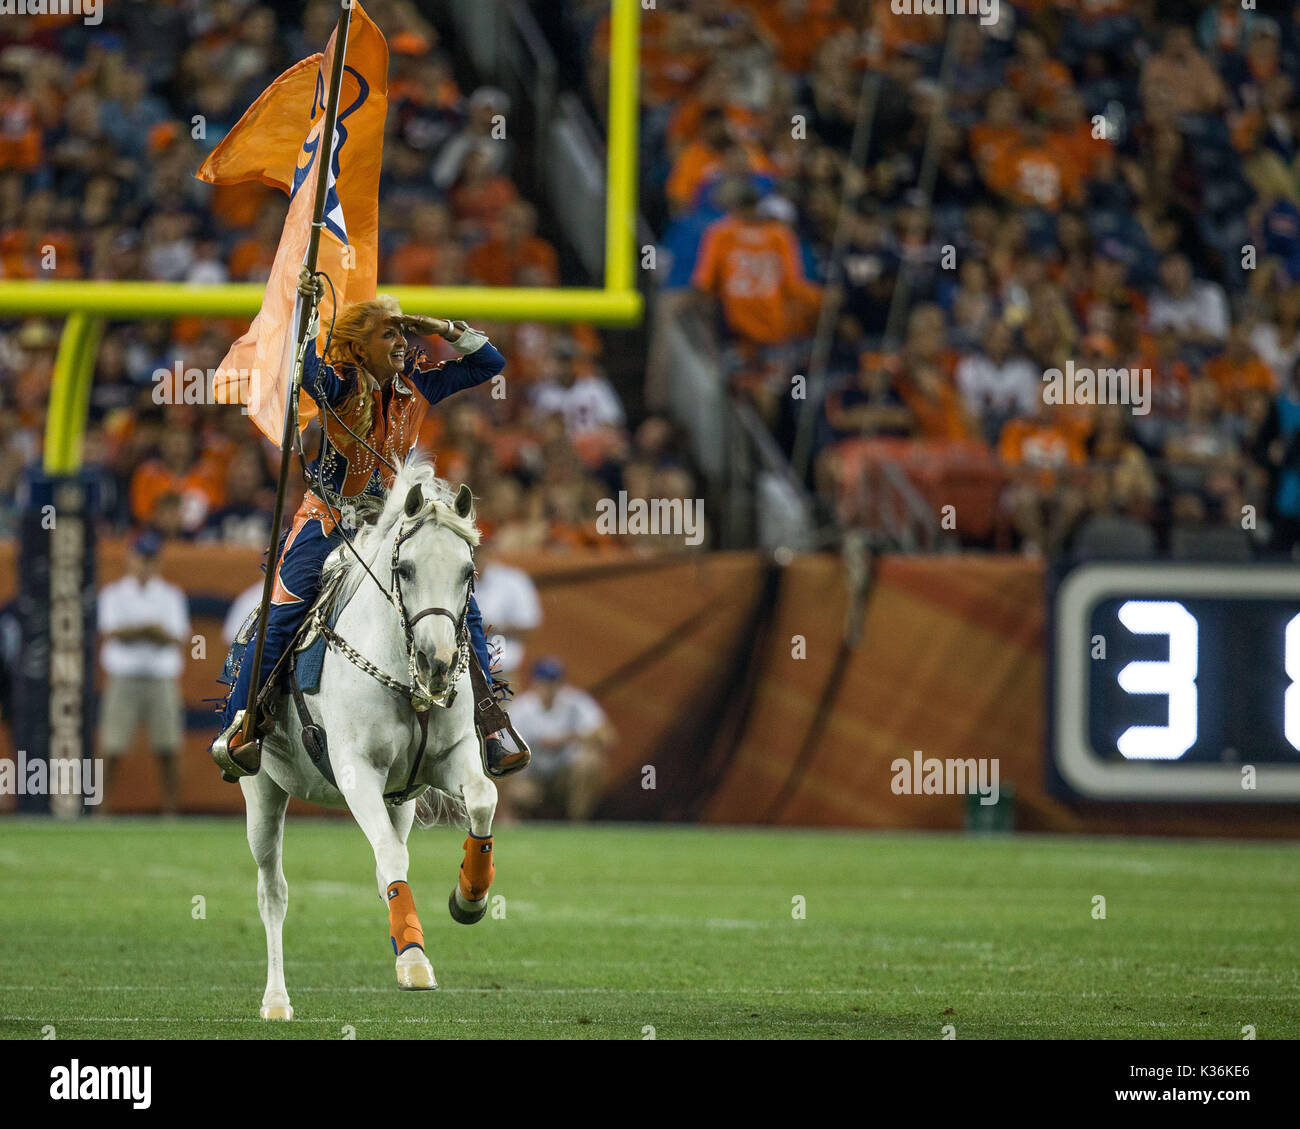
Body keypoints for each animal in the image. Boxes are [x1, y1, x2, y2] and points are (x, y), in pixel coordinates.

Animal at [239, 457, 496, 1024]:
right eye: (407, 569)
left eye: (467, 572)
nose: (438, 663)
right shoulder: (357, 770)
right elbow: (391, 859)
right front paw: (416, 963)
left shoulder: (451, 757)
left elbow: (482, 800)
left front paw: (468, 899)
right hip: (261, 791)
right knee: (272, 892)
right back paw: (275, 1001)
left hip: (402, 802)